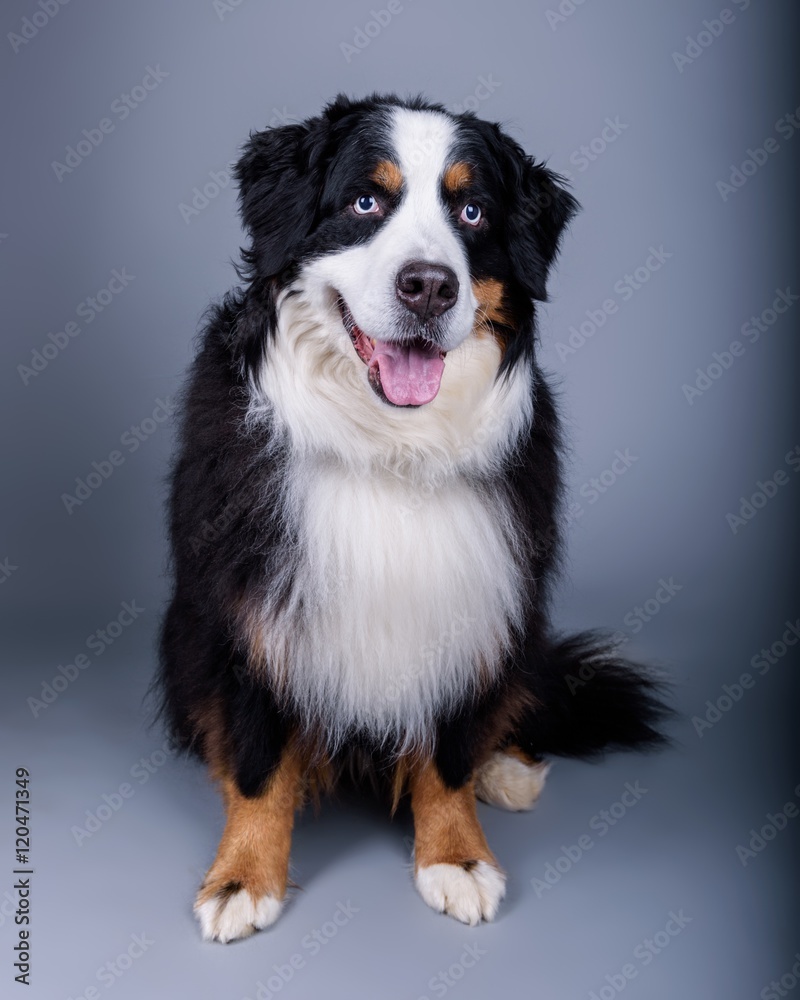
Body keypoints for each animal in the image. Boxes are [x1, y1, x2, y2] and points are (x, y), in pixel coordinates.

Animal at [158, 90, 668, 940]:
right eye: (367, 202)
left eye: (472, 211)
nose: (428, 286)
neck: (390, 446)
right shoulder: (252, 606)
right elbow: (260, 757)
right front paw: (242, 877)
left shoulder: (475, 599)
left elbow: (451, 752)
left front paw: (456, 858)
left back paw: (507, 771)